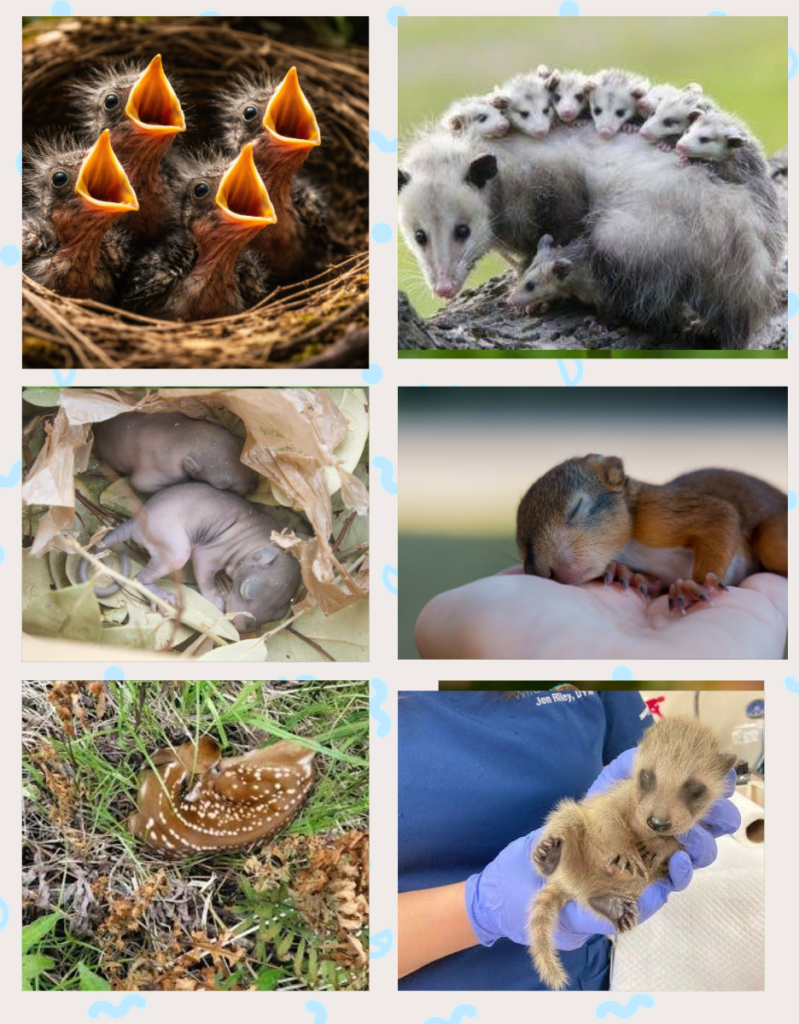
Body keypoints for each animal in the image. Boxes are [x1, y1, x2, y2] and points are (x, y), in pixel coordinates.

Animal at [516, 454, 787, 613]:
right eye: (521, 550)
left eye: (576, 508)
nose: (546, 573)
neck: (628, 548)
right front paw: (624, 573)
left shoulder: (657, 513)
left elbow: (721, 515)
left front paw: (695, 585)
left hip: (772, 540)